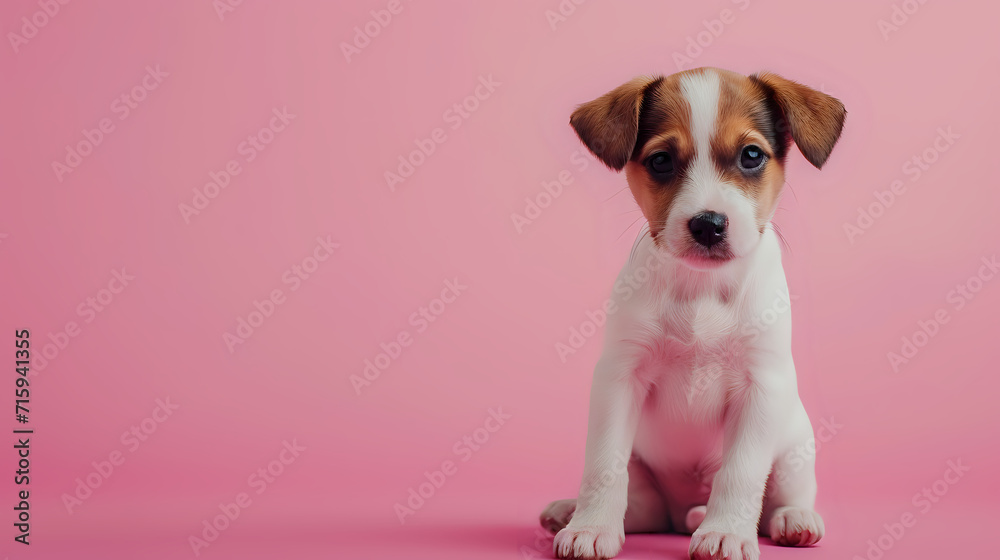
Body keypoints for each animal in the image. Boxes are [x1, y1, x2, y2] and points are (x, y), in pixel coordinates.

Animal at [540, 66, 844, 560]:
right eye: (662, 160)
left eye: (751, 156)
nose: (708, 224)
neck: (702, 289)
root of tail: (681, 511)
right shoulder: (619, 378)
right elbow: (603, 466)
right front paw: (590, 527)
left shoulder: (761, 387)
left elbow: (740, 473)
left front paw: (726, 532)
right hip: (645, 474)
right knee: (643, 508)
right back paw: (572, 512)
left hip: (794, 446)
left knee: (783, 496)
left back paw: (790, 519)